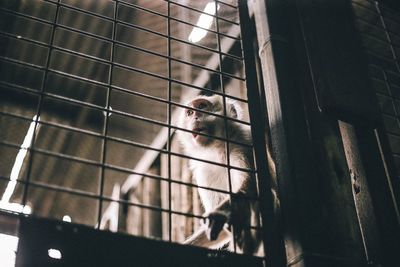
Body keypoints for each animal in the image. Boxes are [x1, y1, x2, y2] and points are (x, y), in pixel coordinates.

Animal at [177, 94, 266, 255]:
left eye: (201, 106)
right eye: (189, 113)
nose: (195, 117)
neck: (218, 150)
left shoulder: (240, 146)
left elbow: (248, 189)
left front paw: (218, 216)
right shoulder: (204, 169)